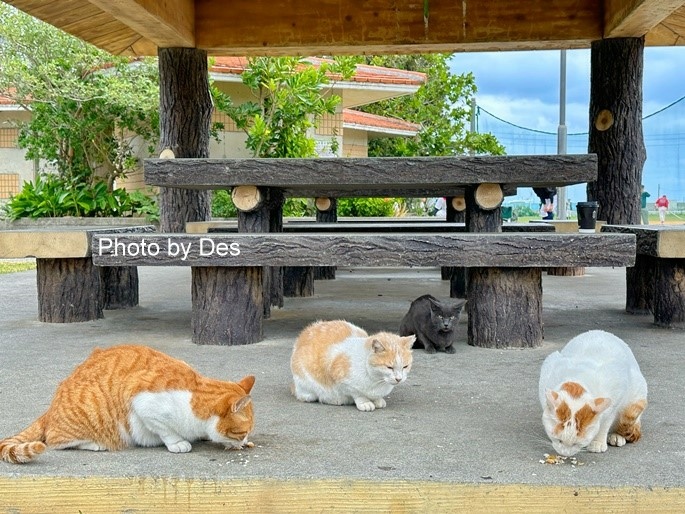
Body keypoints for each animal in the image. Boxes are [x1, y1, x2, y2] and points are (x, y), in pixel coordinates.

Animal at [0, 342, 255, 462]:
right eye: (242, 433)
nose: (244, 443)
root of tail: (50, 408)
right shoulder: (144, 404)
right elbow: (166, 431)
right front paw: (178, 442)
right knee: (56, 440)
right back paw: (96, 444)